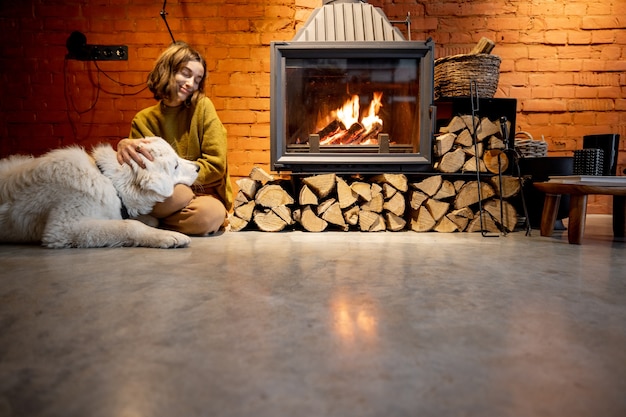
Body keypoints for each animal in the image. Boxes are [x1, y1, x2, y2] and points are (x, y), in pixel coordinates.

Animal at [0, 136, 197, 247]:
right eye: (175, 166)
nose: (198, 167)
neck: (108, 179)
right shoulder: (63, 228)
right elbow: (130, 225)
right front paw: (168, 236)